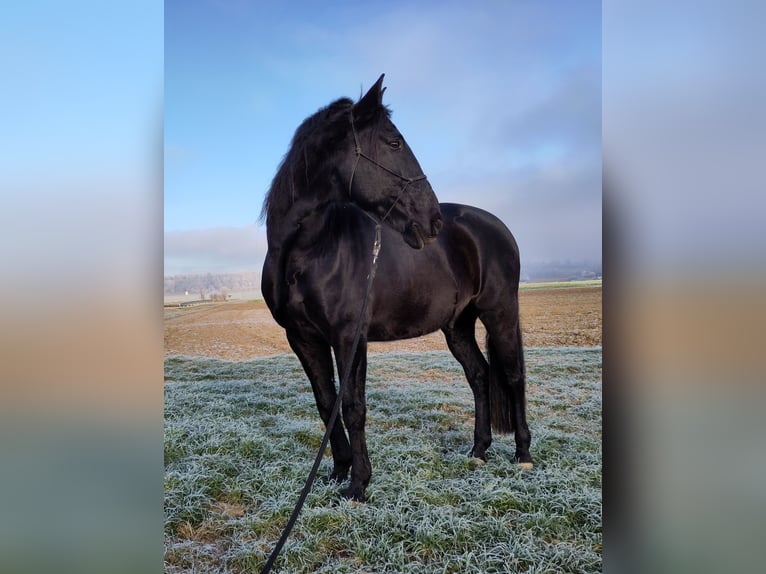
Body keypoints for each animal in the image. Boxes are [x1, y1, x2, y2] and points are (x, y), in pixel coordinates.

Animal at [260, 75, 532, 504]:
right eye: (393, 143)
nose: (433, 220)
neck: (307, 251)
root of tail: (496, 226)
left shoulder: (349, 336)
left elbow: (352, 406)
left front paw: (358, 484)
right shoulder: (302, 337)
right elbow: (326, 404)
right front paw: (338, 471)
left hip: (500, 312)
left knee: (513, 375)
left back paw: (523, 455)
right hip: (457, 325)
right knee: (480, 375)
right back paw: (478, 451)